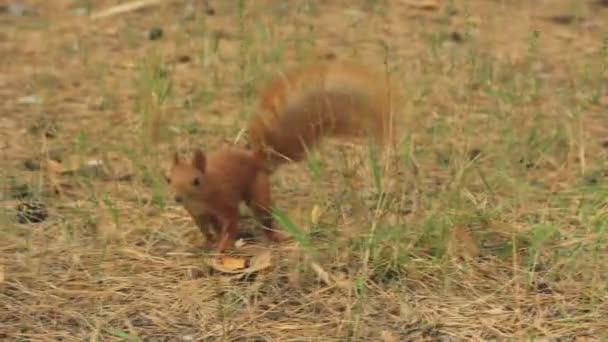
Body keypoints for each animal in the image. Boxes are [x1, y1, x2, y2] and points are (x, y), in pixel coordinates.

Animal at [169, 60, 402, 254]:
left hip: (258, 190)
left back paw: (275, 237)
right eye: (168, 179)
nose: (177, 198)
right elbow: (205, 229)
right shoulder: (198, 213)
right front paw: (206, 242)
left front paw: (222, 246)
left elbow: (230, 223)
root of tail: (258, 161)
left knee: (264, 215)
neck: (202, 196)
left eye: (196, 181)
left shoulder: (224, 200)